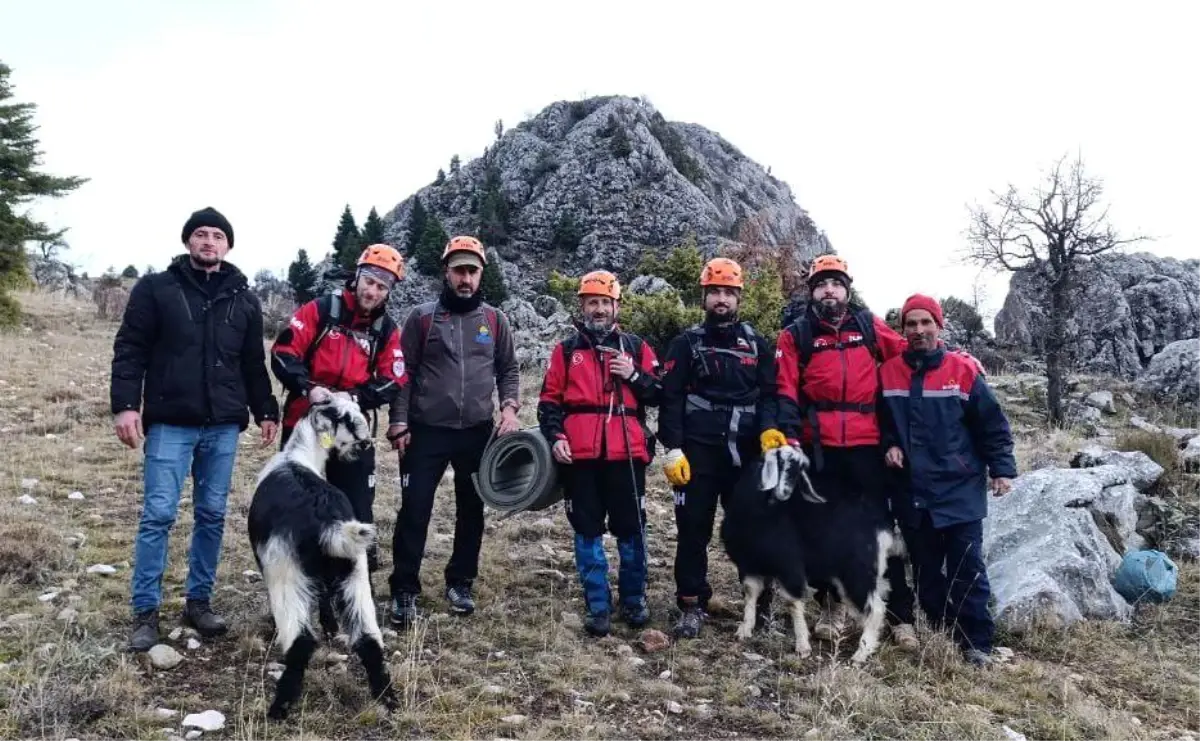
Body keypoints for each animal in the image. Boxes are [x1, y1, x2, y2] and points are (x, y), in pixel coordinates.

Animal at [248, 386, 398, 714]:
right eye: (346, 418)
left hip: (287, 574)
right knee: (369, 640)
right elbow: (326, 599)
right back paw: (388, 698)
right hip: (356, 573)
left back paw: (280, 706)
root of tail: (329, 522)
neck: (298, 456)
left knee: (301, 642)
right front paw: (330, 627)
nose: (365, 443)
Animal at [720, 443, 892, 661]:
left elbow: (792, 601)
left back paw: (860, 654)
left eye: (799, 471)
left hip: (856, 571)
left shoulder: (789, 565)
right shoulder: (747, 563)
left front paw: (802, 645)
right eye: (782, 465)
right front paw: (744, 630)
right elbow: (750, 592)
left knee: (876, 607)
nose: (783, 493)